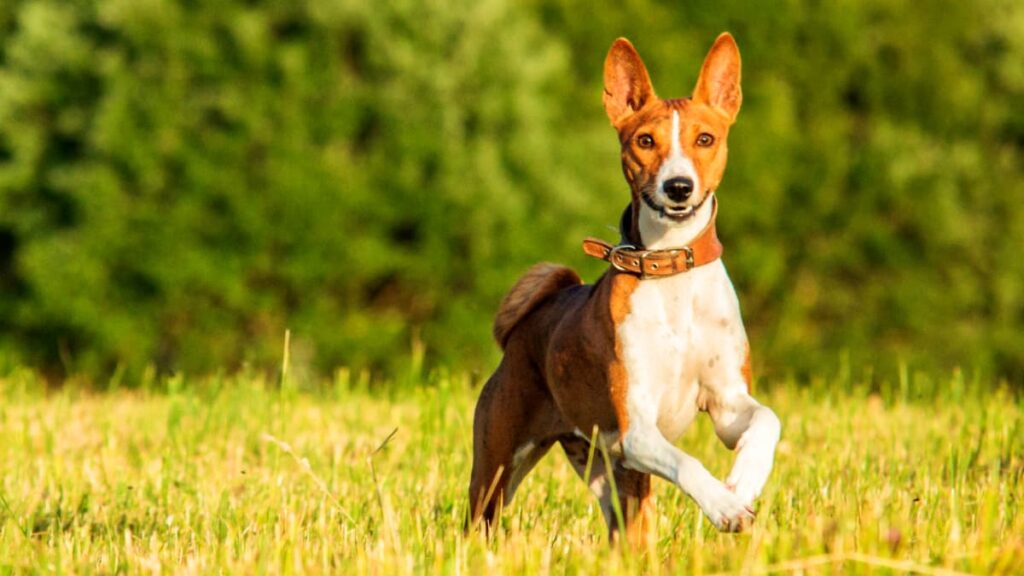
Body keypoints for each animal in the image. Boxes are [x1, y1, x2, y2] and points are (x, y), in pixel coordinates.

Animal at [468, 33, 778, 545]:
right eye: (645, 141)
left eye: (705, 139)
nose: (678, 186)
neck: (672, 273)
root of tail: (528, 324)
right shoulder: (636, 429)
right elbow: (688, 462)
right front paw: (724, 506)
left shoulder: (727, 404)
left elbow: (768, 421)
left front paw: (744, 481)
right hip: (499, 467)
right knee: (479, 521)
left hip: (609, 475)